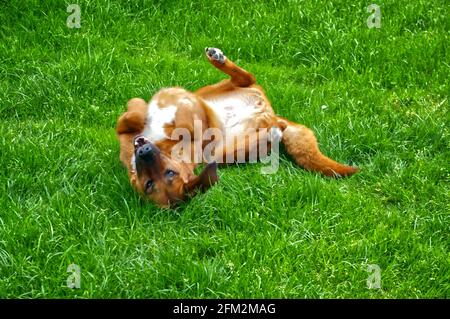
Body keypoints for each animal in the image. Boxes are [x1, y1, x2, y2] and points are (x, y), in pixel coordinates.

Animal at [116, 47, 358, 208]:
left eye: (169, 172)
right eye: (149, 184)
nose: (144, 151)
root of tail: (270, 115)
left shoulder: (136, 112)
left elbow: (132, 117)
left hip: (220, 90)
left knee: (246, 77)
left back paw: (217, 58)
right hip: (224, 152)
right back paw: (272, 132)